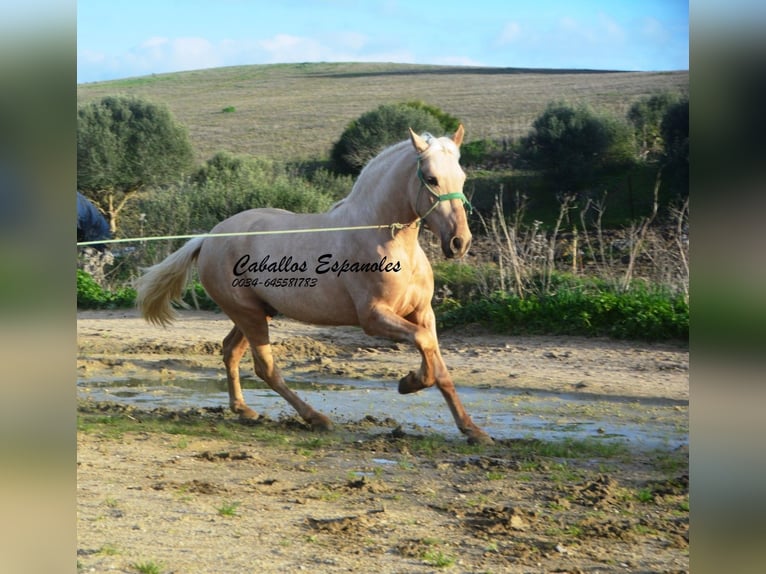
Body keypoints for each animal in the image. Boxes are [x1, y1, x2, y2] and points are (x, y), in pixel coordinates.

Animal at [135, 126, 492, 444]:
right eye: (431, 179)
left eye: (461, 178)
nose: (460, 242)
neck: (386, 242)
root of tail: (208, 238)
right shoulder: (373, 317)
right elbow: (423, 346)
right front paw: (409, 382)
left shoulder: (423, 313)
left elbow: (438, 363)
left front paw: (473, 431)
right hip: (248, 314)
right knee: (266, 368)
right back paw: (316, 418)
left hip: (257, 312)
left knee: (230, 350)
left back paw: (244, 410)